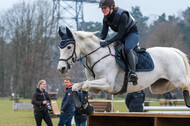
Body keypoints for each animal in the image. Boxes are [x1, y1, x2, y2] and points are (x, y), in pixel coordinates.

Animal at [57, 27, 190, 109]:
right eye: (59, 47)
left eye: (69, 47)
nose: (61, 68)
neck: (97, 56)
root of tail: (174, 51)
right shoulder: (94, 85)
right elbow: (77, 86)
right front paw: (80, 104)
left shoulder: (108, 84)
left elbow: (84, 86)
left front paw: (84, 103)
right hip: (159, 86)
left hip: (178, 79)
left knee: (187, 82)